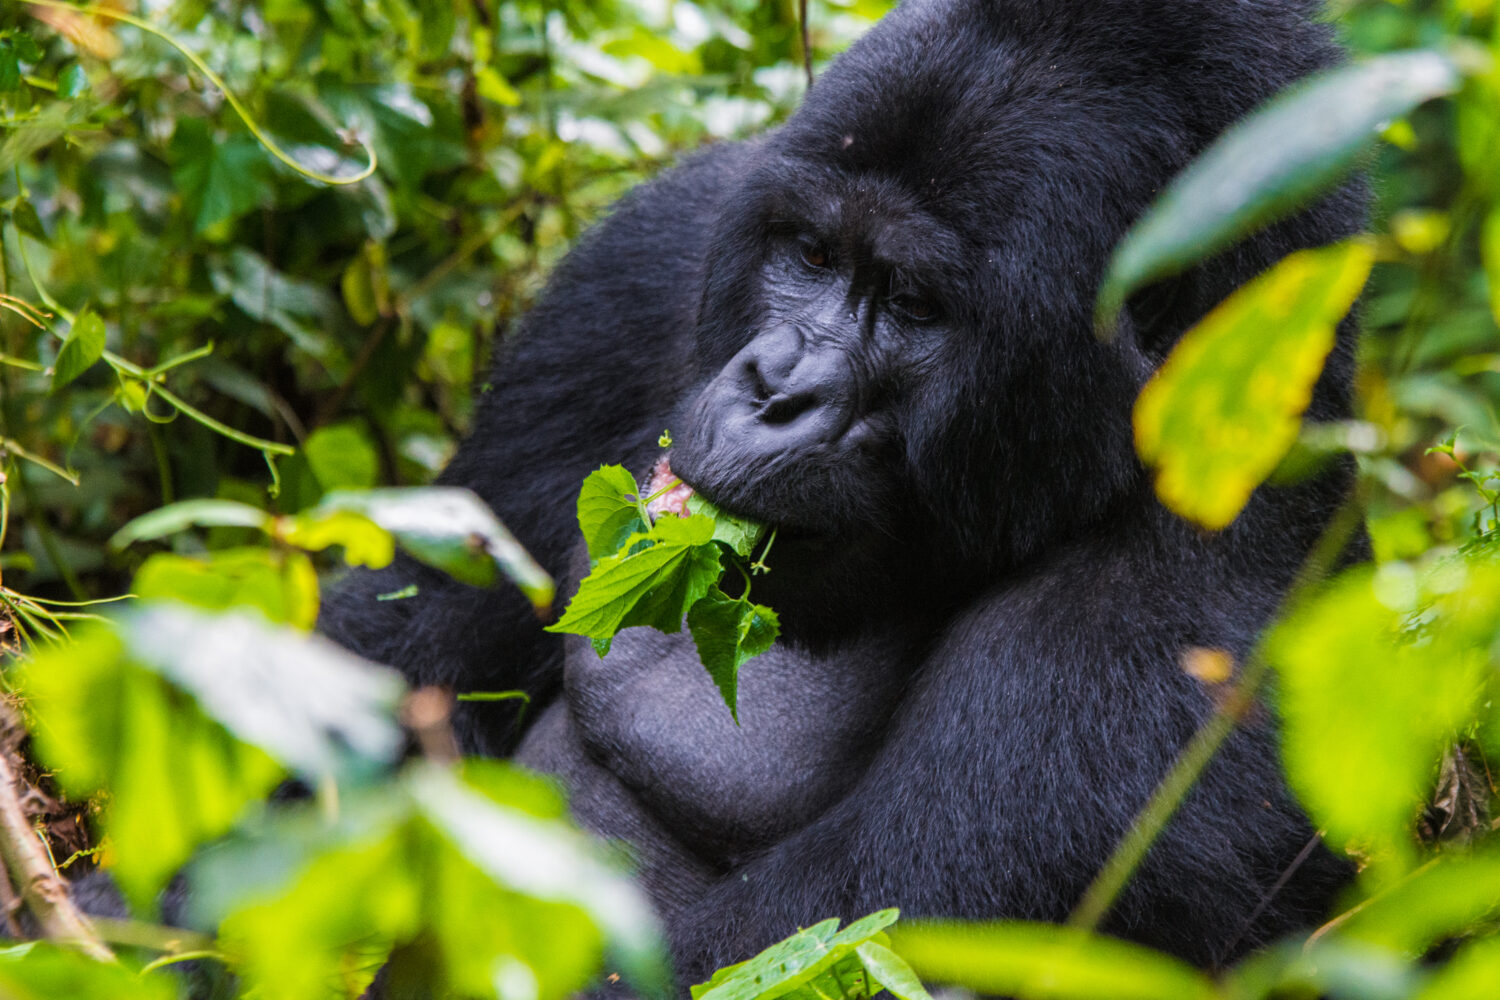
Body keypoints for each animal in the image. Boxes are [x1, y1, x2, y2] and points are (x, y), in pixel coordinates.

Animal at [319, 0, 1374, 983]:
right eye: (814, 255)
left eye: (913, 304)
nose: (775, 390)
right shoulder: (654, 259)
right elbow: (417, 608)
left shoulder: (1199, 605)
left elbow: (834, 933)